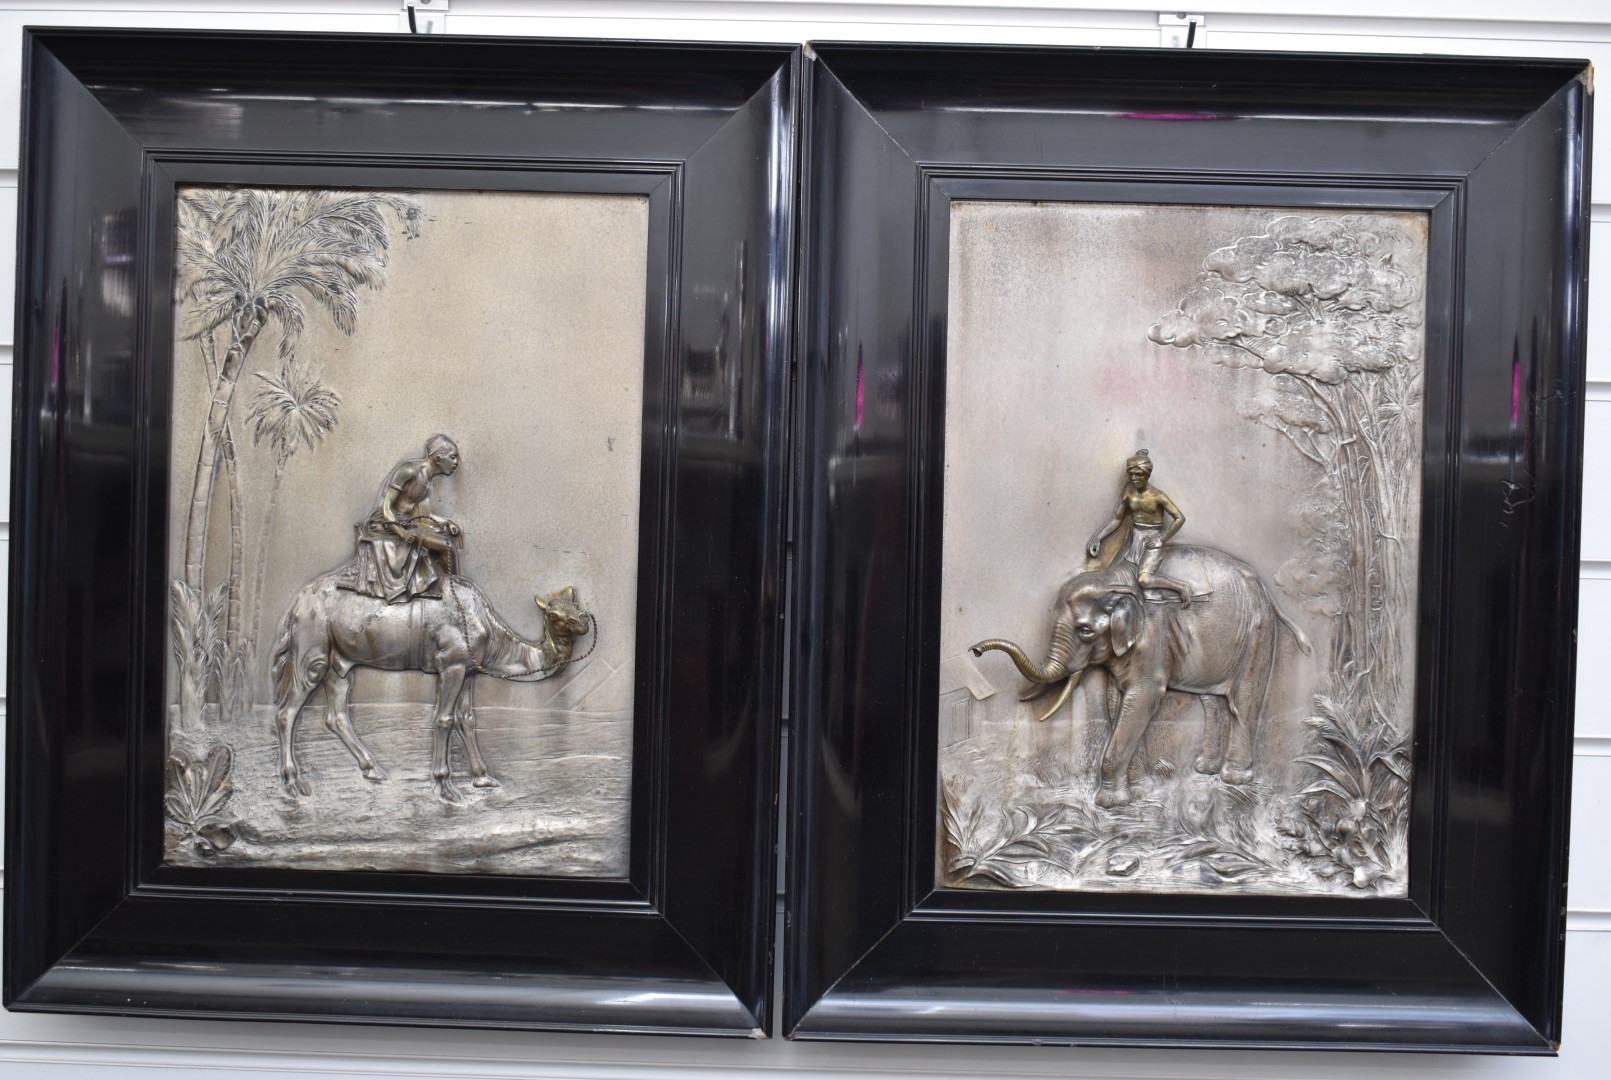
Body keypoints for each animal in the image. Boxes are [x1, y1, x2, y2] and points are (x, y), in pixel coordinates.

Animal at [270, 573, 592, 802]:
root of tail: (296, 605)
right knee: (287, 711)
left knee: (336, 715)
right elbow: (443, 719)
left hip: (339, 662)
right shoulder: (452, 664)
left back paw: (374, 770)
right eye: (552, 615)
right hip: (312, 651)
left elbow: (467, 719)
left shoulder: (470, 671)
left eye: (575, 605)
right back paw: (294, 784)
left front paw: (483, 778)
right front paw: (445, 787)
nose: (582, 621)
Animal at [966, 544, 1308, 809]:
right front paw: (1141, 790)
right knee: (1211, 700)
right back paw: (1205, 769)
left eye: (1085, 631)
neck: (1113, 581)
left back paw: (1234, 778)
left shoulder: (1152, 638)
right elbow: (1116, 702)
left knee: (1244, 700)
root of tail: (1264, 589)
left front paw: (1110, 804)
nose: (975, 651)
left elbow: (1143, 699)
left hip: (1257, 631)